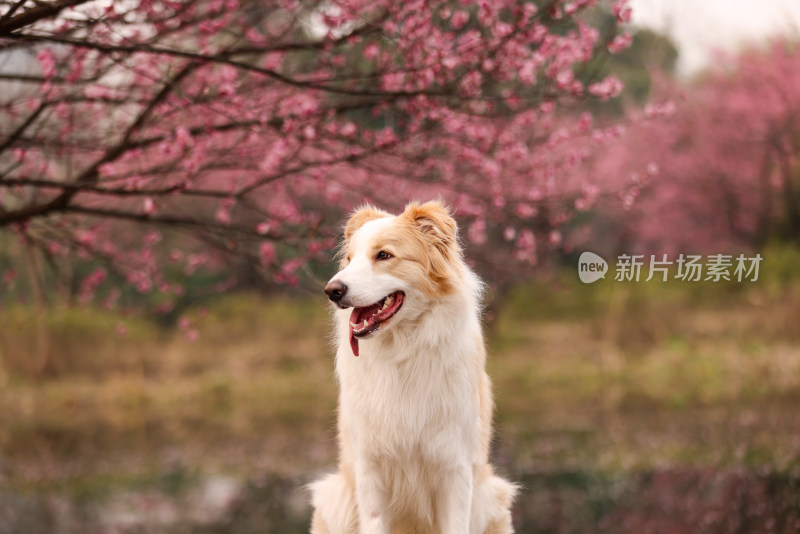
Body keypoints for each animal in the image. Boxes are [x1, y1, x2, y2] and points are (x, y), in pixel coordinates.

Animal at [310, 201, 516, 534]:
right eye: (349, 260)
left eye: (383, 256)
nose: (332, 290)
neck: (402, 352)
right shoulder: (370, 470)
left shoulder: (454, 469)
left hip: (492, 496)